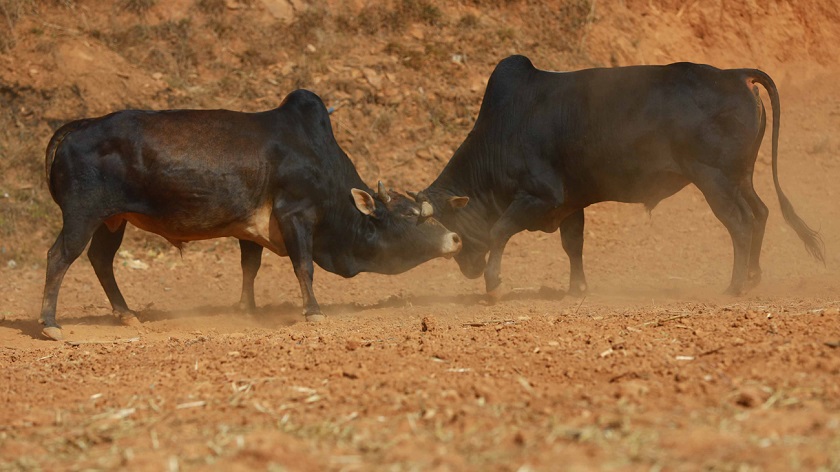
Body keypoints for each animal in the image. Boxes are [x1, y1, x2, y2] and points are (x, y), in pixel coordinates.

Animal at [41, 89, 460, 340]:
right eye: (412, 214)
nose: (455, 238)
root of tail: (80, 126)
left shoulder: (249, 231)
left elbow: (250, 267)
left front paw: (247, 310)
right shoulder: (296, 216)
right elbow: (303, 266)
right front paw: (313, 312)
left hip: (113, 220)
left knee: (100, 259)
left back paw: (126, 314)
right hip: (83, 215)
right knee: (59, 257)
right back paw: (50, 323)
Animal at [410, 55, 824, 298]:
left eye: (452, 229)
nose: (468, 269)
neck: (504, 129)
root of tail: (735, 74)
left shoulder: (539, 196)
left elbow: (499, 231)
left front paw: (493, 285)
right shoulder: (571, 203)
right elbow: (573, 245)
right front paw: (576, 289)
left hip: (715, 179)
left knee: (741, 223)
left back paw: (735, 286)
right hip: (741, 177)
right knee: (761, 213)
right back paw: (752, 277)